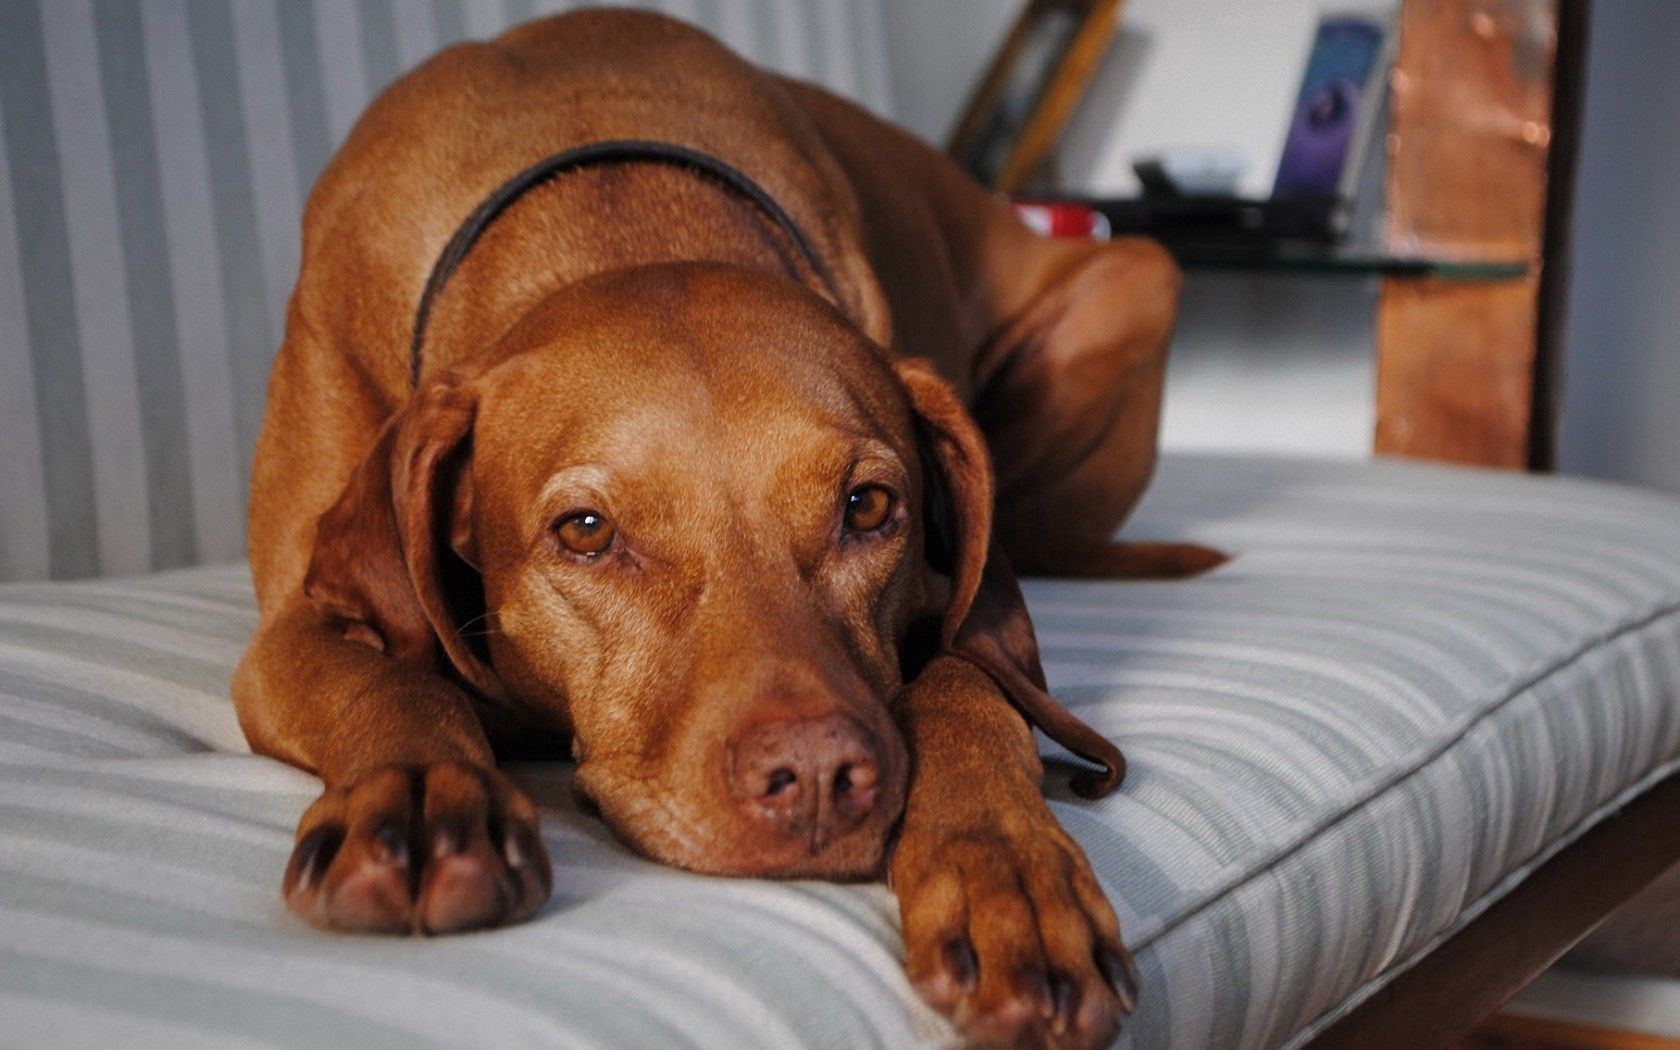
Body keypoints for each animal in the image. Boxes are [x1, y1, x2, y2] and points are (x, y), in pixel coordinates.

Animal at [230, 10, 1216, 1048]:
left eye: (868, 508)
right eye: (587, 530)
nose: (818, 774)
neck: (615, 207)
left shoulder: (947, 602)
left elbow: (966, 683)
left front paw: (1004, 871)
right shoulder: (295, 622)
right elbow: (393, 679)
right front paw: (423, 795)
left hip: (1140, 274)